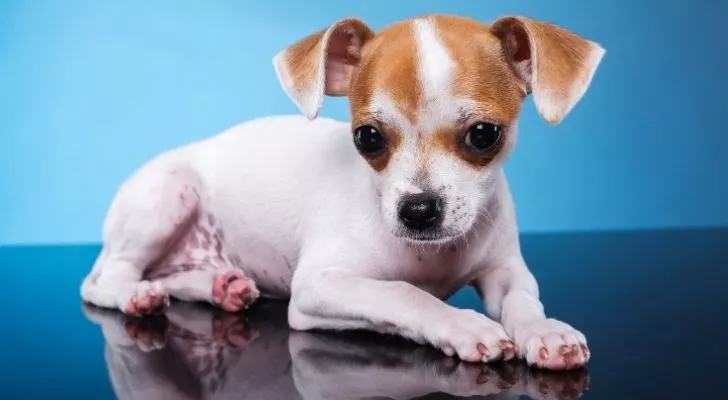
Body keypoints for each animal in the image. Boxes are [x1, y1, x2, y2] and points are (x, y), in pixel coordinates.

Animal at [79, 13, 604, 372]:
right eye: (368, 137)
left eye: (483, 135)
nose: (418, 209)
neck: (429, 255)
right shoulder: (320, 287)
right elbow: (404, 295)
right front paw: (461, 323)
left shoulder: (506, 272)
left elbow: (521, 301)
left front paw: (544, 330)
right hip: (167, 197)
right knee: (112, 277)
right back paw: (136, 297)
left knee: (169, 276)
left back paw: (221, 287)